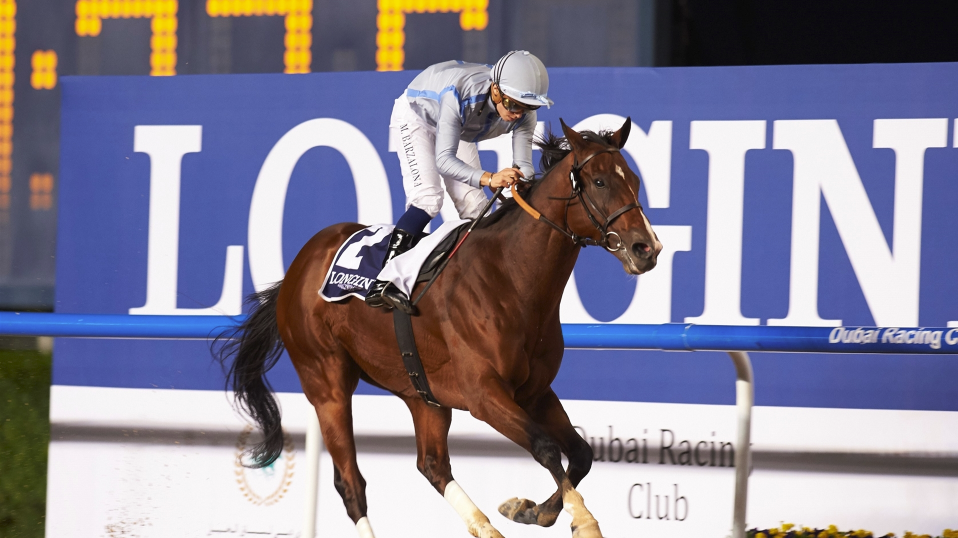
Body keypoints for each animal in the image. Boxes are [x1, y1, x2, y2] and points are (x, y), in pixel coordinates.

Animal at [219, 118, 660, 536]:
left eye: (635, 180)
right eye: (600, 181)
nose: (648, 248)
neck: (511, 277)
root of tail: (298, 268)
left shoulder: (534, 392)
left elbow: (581, 453)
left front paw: (531, 510)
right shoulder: (485, 395)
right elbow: (546, 447)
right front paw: (581, 521)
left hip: (421, 392)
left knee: (432, 464)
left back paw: (487, 527)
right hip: (326, 383)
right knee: (351, 485)